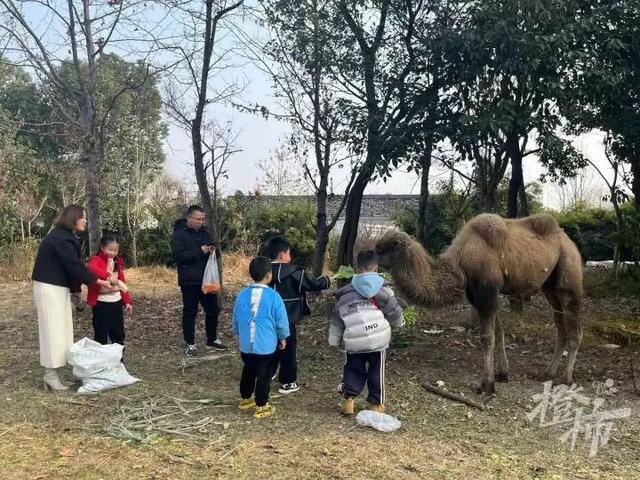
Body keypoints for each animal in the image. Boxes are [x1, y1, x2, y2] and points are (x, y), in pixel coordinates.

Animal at [376, 214, 584, 394]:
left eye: (382, 249)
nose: (373, 261)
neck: (461, 260)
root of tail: (568, 240)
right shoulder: (479, 294)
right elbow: (499, 333)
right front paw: (503, 374)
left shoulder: (487, 291)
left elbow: (487, 337)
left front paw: (487, 384)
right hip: (549, 287)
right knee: (561, 327)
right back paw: (547, 373)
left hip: (569, 275)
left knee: (574, 329)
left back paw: (566, 379)